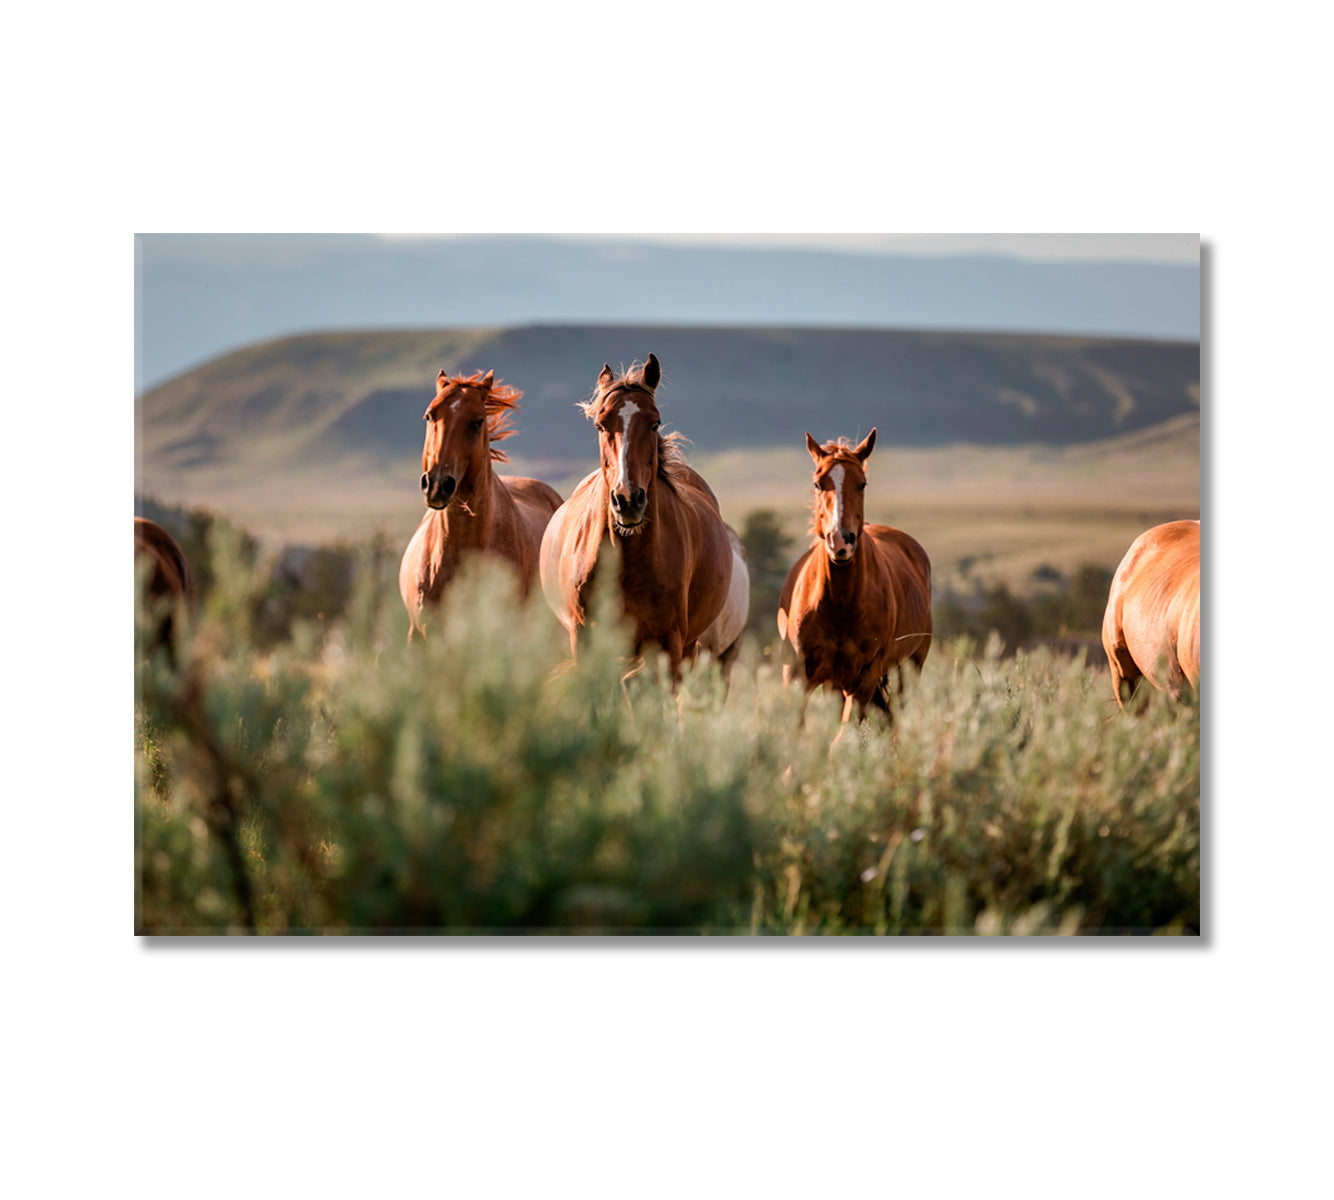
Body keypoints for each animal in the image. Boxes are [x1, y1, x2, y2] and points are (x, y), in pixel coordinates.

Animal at [779, 429, 933, 720]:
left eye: (862, 484)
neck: (840, 605)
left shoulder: (864, 679)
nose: (841, 541)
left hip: (907, 671)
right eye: (818, 483)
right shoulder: (798, 674)